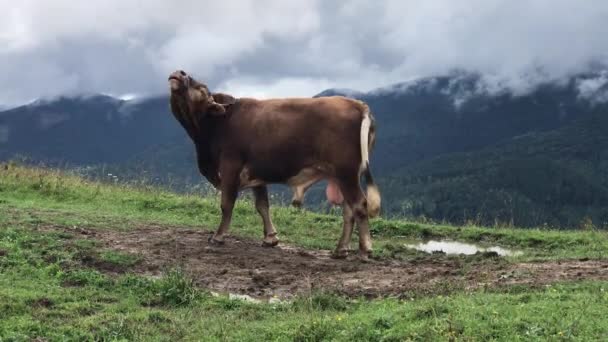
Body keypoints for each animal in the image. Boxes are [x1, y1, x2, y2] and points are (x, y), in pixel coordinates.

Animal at [167, 70, 380, 260]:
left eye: (201, 87)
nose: (180, 72)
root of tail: (357, 103)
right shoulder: (256, 173)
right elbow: (262, 205)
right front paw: (270, 238)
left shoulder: (230, 167)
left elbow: (226, 204)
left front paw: (218, 236)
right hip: (341, 176)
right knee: (348, 211)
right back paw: (340, 250)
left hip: (346, 173)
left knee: (359, 205)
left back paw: (364, 250)